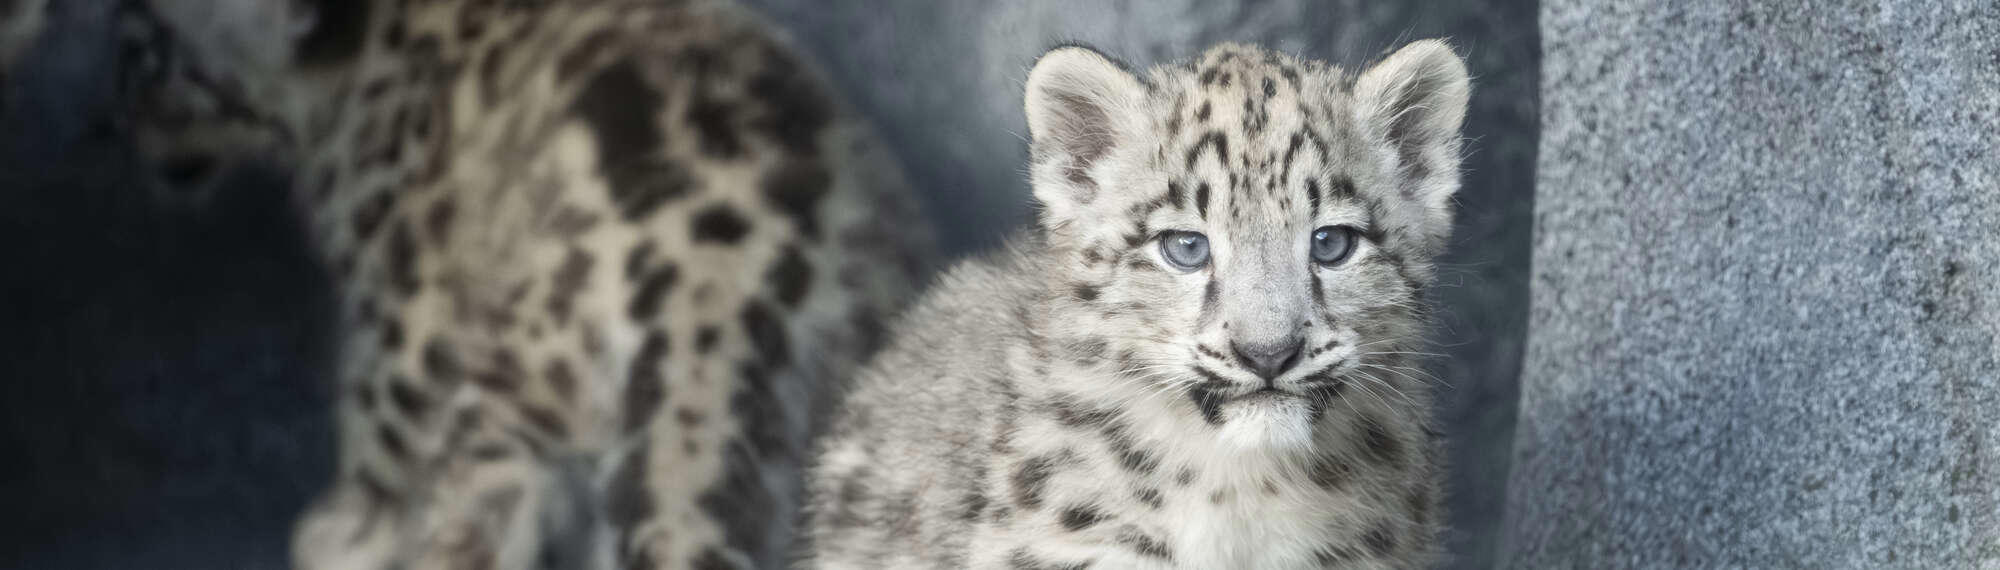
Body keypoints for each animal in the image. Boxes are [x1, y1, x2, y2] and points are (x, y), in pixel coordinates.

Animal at [9, 0, 934, 568]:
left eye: (151, 55)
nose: (110, 124)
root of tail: (722, 284)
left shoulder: (399, 310)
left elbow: (377, 441)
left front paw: (340, 532)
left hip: (509, 406)